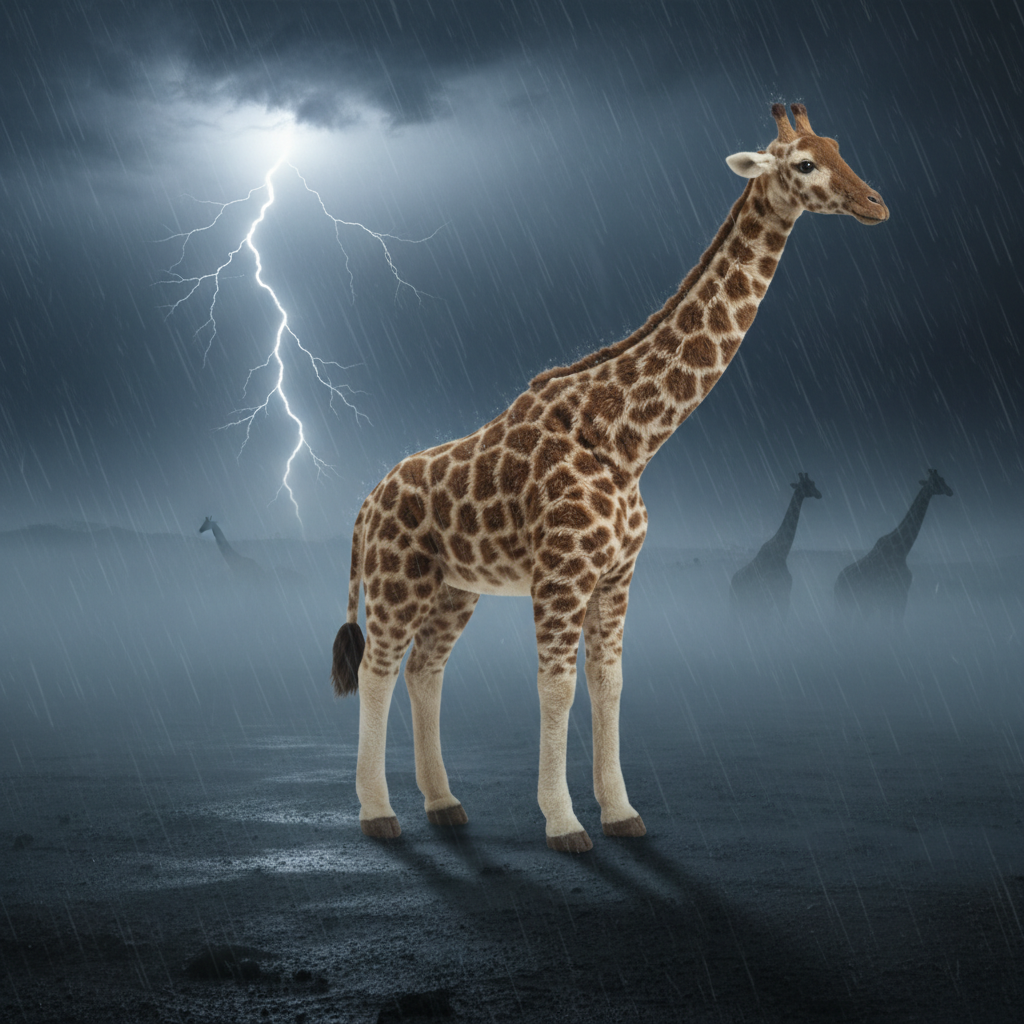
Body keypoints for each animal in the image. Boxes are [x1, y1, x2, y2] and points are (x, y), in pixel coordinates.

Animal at [729, 472, 821, 616]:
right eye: (807, 484)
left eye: (813, 482)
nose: (819, 494)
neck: (783, 553)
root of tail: (731, 583)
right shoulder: (778, 596)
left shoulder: (781, 597)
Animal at [834, 469, 953, 623]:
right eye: (935, 481)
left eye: (942, 479)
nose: (950, 491)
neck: (903, 551)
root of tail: (836, 585)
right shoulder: (896, 595)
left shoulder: (893, 598)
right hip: (848, 605)